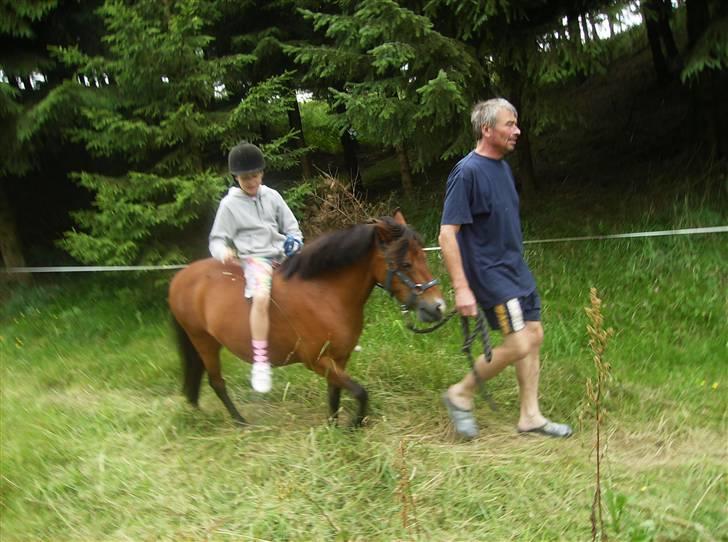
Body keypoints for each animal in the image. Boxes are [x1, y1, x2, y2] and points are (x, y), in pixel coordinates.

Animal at [169, 212, 444, 430]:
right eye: (405, 263)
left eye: (424, 257)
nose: (437, 307)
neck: (324, 293)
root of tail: (180, 277)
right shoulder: (317, 361)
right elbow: (361, 392)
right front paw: (353, 426)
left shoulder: (339, 359)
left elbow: (335, 393)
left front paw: (334, 427)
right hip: (203, 341)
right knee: (217, 382)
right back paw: (240, 422)